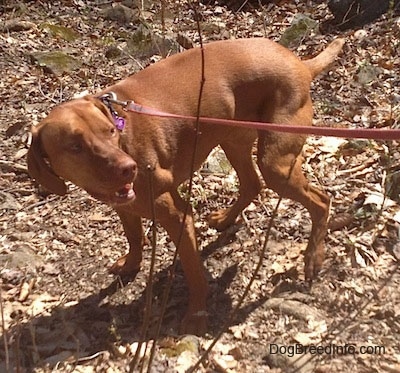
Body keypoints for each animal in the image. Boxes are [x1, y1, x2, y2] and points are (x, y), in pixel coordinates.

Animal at [26, 37, 344, 334]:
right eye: (75, 146)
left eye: (109, 132)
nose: (129, 168)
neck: (124, 132)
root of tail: (300, 63)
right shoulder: (124, 204)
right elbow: (133, 236)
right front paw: (130, 265)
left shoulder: (176, 215)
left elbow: (194, 274)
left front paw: (195, 317)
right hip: (233, 140)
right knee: (252, 184)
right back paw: (226, 218)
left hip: (276, 162)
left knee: (320, 200)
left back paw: (313, 258)